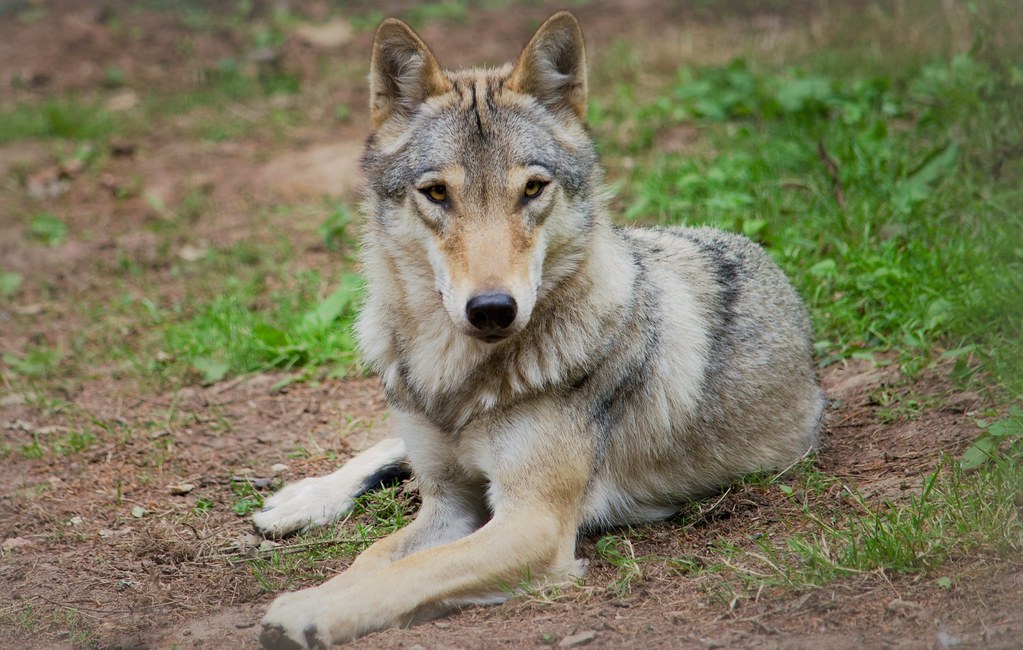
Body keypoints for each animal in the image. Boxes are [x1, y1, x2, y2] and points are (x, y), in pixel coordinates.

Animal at [254, 11, 825, 648]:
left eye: (532, 188)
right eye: (436, 193)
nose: (492, 308)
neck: (452, 378)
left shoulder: (534, 522)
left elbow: (409, 569)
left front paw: (307, 609)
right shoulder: (448, 504)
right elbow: (373, 558)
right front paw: (321, 586)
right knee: (387, 446)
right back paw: (301, 499)